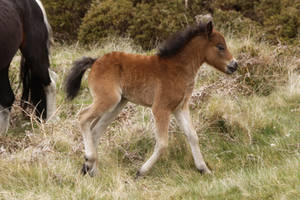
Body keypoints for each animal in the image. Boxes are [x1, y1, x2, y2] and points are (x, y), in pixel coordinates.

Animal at [64, 20, 238, 177]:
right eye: (220, 47)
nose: (234, 65)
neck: (178, 68)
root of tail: (95, 61)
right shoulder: (161, 108)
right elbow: (162, 144)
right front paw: (141, 171)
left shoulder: (179, 108)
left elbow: (192, 136)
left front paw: (204, 169)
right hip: (108, 99)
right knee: (83, 117)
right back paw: (89, 160)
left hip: (117, 104)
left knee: (96, 129)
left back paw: (91, 169)